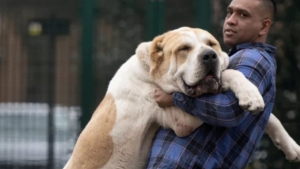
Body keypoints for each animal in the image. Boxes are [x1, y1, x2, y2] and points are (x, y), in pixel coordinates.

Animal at [63, 27, 300, 168]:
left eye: (211, 44)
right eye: (184, 49)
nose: (210, 55)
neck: (150, 73)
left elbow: (270, 117)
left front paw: (291, 146)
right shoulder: (182, 121)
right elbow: (230, 74)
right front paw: (251, 94)